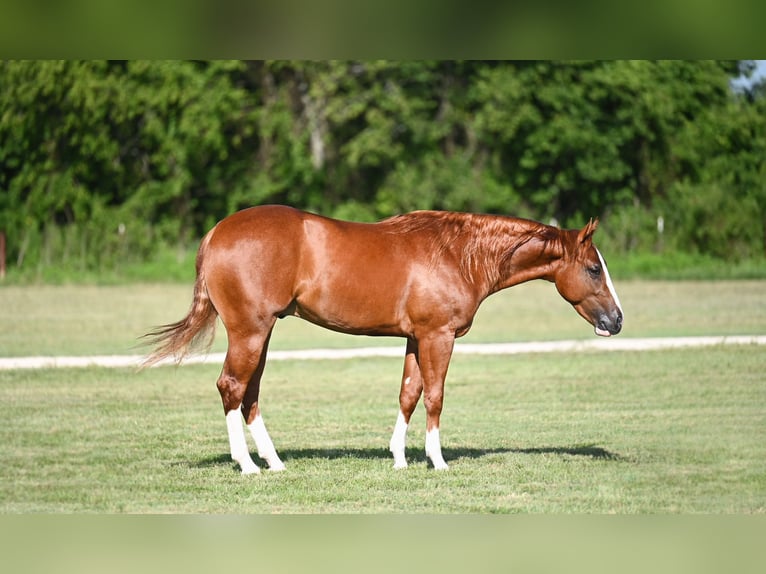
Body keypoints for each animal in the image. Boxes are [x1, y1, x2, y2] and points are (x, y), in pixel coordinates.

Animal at [143, 205, 623, 474]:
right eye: (593, 269)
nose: (617, 321)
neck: (458, 254)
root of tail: (216, 232)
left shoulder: (415, 338)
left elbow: (409, 394)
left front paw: (399, 457)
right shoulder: (438, 336)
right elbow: (435, 397)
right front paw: (437, 461)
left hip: (262, 333)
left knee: (250, 394)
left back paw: (274, 463)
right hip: (250, 331)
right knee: (232, 387)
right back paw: (246, 465)